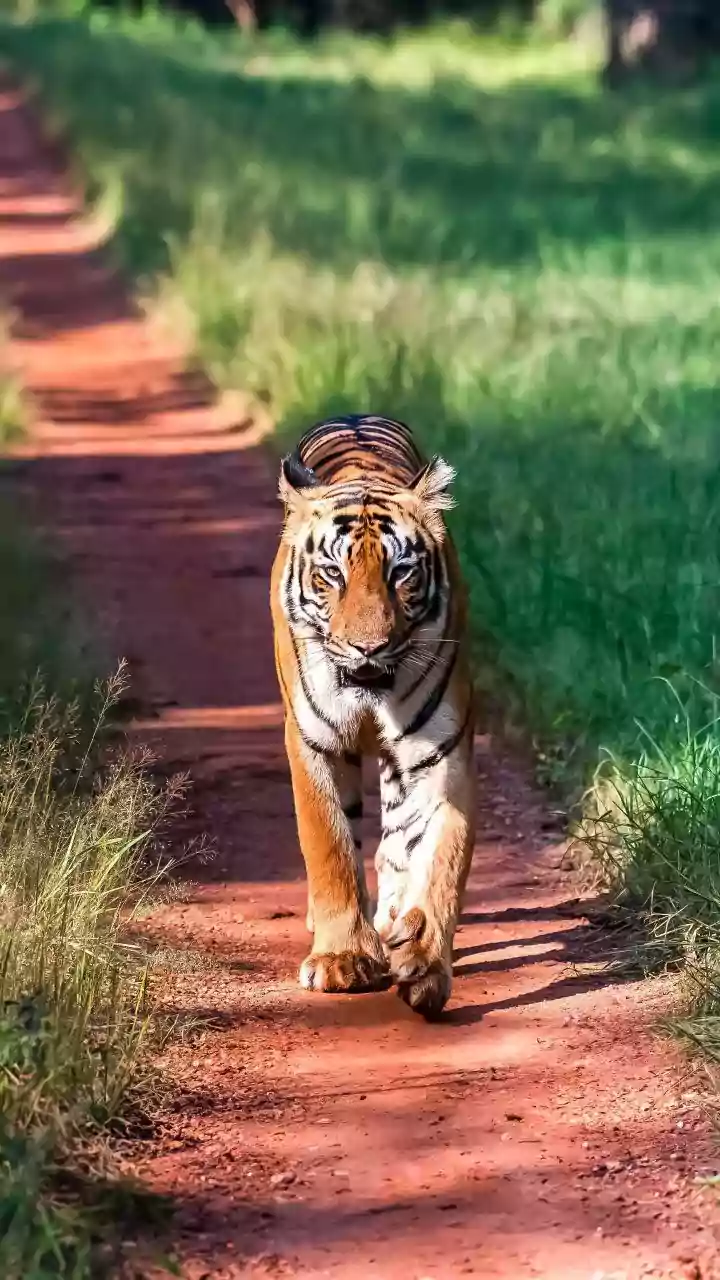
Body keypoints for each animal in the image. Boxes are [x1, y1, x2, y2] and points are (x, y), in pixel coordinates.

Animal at [270, 414, 476, 1019]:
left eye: (401, 572)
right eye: (331, 573)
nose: (369, 647)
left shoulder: (438, 755)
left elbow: (440, 858)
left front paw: (424, 960)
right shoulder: (312, 744)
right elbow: (330, 845)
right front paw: (342, 960)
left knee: (395, 841)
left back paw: (394, 920)